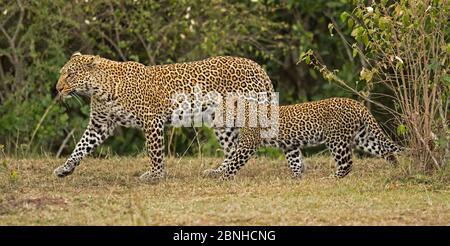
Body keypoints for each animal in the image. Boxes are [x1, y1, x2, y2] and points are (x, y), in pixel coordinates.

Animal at [52, 52, 274, 183]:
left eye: (71, 74)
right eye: (62, 73)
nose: (58, 88)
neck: (101, 90)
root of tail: (259, 68)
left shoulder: (152, 120)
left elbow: (154, 152)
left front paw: (155, 175)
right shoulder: (99, 124)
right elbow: (80, 147)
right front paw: (65, 169)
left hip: (247, 113)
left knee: (248, 143)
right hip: (222, 120)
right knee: (232, 147)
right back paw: (218, 172)